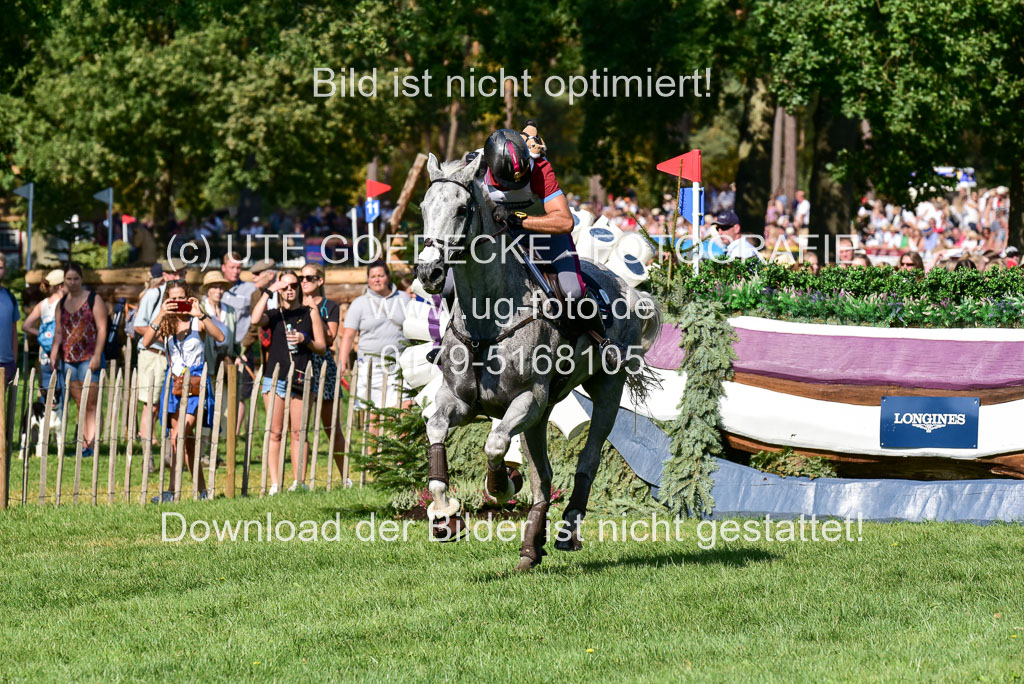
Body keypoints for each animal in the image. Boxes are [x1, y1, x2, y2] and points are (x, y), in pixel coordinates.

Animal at [411, 153, 659, 573]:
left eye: (462, 209)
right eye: (424, 208)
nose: (429, 272)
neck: (489, 315)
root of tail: (626, 288)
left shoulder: (527, 398)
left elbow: (495, 444)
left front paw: (501, 485)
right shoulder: (459, 401)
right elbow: (437, 431)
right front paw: (445, 514)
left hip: (604, 391)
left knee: (588, 459)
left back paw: (566, 532)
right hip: (541, 417)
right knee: (543, 476)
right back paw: (531, 547)